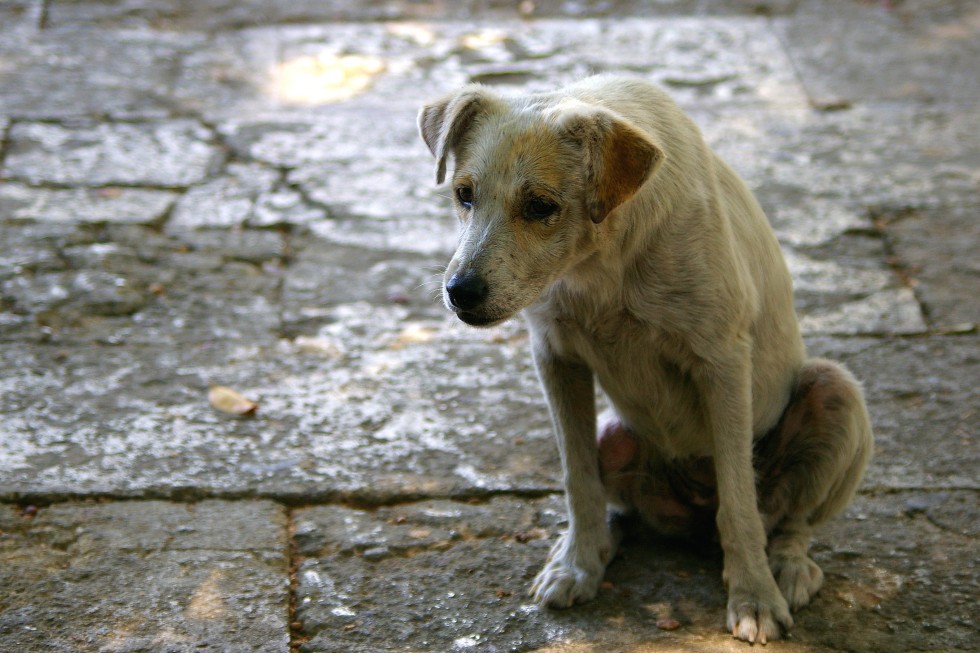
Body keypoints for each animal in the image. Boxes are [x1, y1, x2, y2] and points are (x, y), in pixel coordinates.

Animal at [418, 76, 876, 640]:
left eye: (540, 206)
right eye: (463, 194)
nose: (459, 292)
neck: (602, 263)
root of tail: (689, 511)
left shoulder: (723, 363)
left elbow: (739, 502)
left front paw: (754, 596)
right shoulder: (556, 357)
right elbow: (578, 479)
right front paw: (578, 564)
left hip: (836, 391)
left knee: (789, 521)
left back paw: (787, 567)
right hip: (614, 434)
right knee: (620, 502)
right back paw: (600, 543)